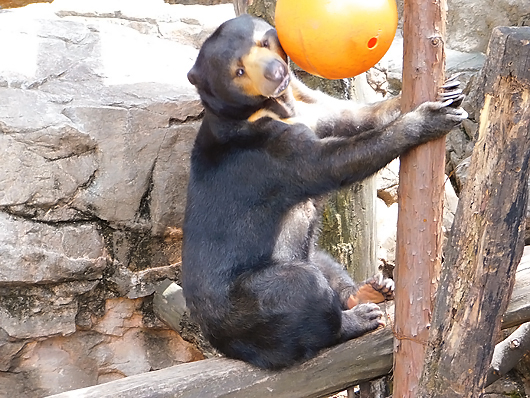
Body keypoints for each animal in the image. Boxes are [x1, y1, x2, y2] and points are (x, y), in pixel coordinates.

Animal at [183, 15, 466, 370]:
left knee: (324, 263)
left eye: (263, 42)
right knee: (302, 293)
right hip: (249, 306)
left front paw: (449, 90)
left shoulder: (310, 107)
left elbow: (352, 116)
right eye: (239, 71)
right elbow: (331, 162)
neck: (275, 107)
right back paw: (358, 319)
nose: (276, 72)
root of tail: (218, 340)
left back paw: (372, 290)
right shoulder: (266, 153)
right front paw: (431, 117)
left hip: (307, 253)